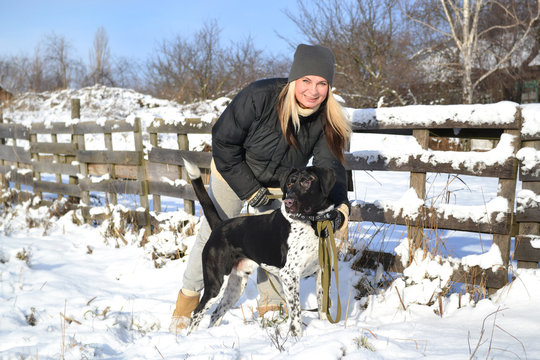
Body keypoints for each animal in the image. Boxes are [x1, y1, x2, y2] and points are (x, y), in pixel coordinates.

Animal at [186, 159, 338, 336]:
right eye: (289, 183)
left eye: (307, 181)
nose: (288, 202)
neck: (312, 224)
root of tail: (219, 225)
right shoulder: (289, 275)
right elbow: (296, 314)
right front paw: (296, 338)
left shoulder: (322, 271)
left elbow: (323, 306)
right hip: (216, 284)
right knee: (196, 312)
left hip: (236, 286)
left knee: (216, 314)